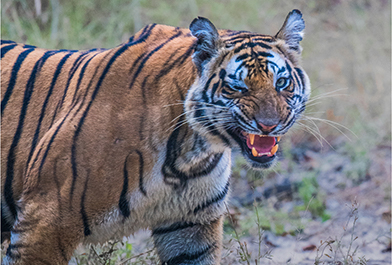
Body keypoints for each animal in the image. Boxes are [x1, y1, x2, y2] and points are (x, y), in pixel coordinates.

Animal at [1, 9, 310, 262]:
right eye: (238, 88)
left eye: (281, 83)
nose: (269, 125)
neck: (190, 152)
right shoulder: (45, 220)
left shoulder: (190, 226)